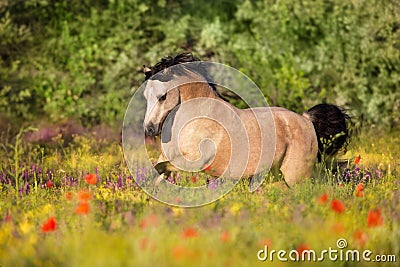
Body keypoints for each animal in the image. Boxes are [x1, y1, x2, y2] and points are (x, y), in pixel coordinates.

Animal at [142, 51, 348, 186]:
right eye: (145, 95)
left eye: (162, 96)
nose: (149, 129)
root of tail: (307, 120)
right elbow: (157, 175)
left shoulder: (194, 162)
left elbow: (161, 168)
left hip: (295, 176)